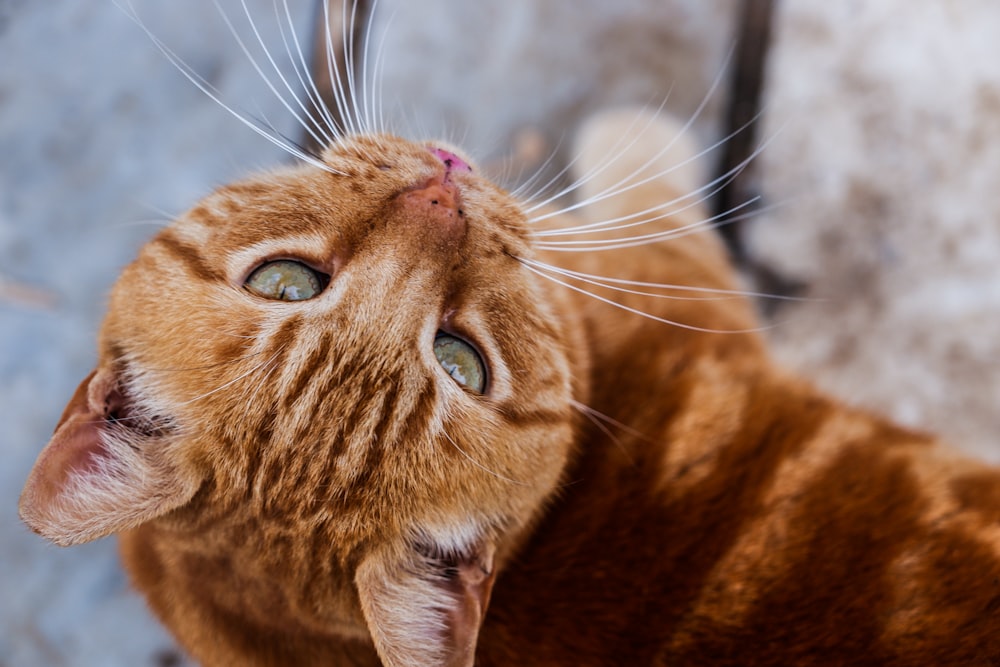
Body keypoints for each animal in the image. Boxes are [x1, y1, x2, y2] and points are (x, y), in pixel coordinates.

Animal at [17, 7, 1000, 667]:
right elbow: (651, 187)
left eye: (462, 359)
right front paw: (633, 134)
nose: (443, 191)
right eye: (287, 282)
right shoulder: (694, 293)